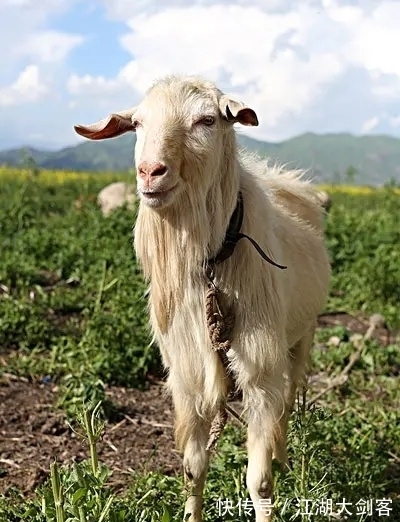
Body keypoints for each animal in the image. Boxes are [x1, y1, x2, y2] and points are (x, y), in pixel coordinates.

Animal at [75, 76, 332, 520]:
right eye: (137, 124)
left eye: (207, 120)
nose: (150, 172)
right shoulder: (188, 374)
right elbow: (193, 469)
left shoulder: (259, 370)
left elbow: (259, 482)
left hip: (302, 338)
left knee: (290, 400)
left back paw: (286, 459)